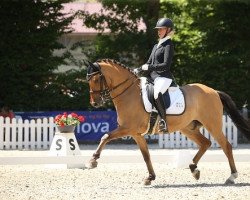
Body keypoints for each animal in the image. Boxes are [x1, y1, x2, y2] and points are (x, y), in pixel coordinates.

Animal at [85, 58, 250, 185]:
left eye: (96, 79)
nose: (94, 103)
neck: (129, 93)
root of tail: (214, 91)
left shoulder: (127, 129)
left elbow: (105, 136)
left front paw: (92, 161)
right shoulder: (136, 134)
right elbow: (146, 156)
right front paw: (150, 178)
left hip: (212, 125)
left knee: (226, 146)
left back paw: (232, 176)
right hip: (188, 128)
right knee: (205, 143)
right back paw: (193, 168)